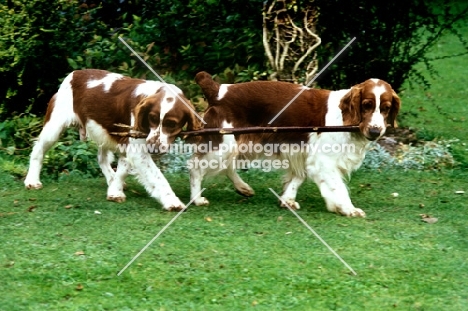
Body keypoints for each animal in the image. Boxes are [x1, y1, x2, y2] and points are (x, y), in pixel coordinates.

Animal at [25, 68, 201, 210]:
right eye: (152, 118)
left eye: (171, 124)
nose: (154, 148)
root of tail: (74, 74)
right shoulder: (138, 151)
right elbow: (158, 178)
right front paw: (172, 202)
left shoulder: (129, 145)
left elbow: (123, 168)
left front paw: (115, 191)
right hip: (54, 127)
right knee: (38, 150)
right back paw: (32, 180)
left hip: (104, 132)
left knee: (102, 158)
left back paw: (111, 179)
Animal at [190, 71, 398, 217]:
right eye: (366, 105)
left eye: (386, 108)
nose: (375, 131)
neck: (346, 119)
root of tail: (217, 90)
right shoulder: (323, 161)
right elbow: (338, 188)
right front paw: (349, 209)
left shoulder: (304, 153)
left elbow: (298, 177)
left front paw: (287, 200)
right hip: (223, 144)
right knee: (195, 167)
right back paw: (197, 198)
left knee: (227, 166)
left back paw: (243, 188)